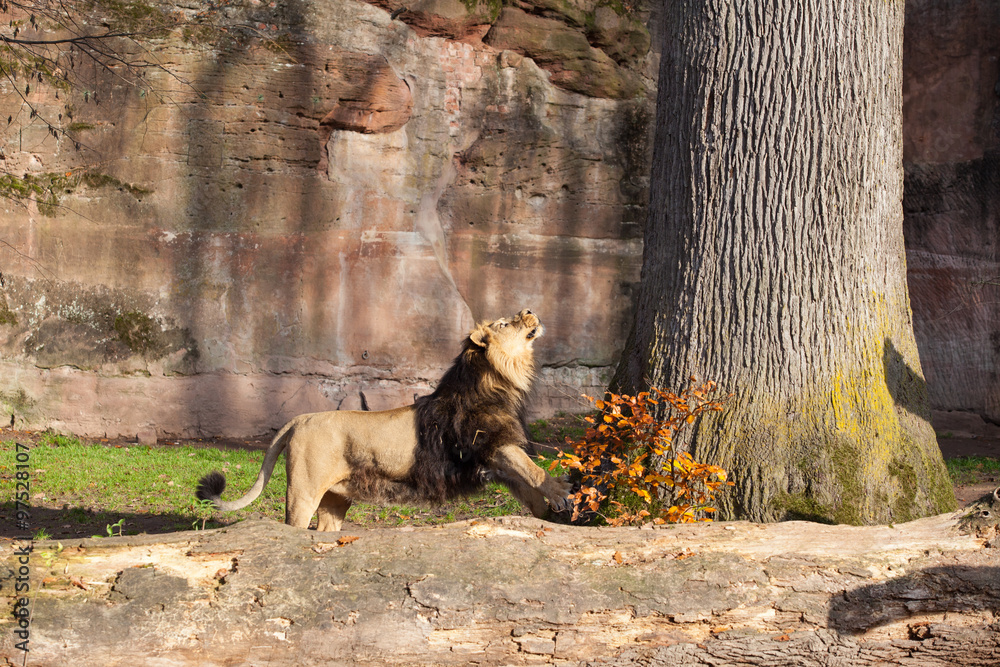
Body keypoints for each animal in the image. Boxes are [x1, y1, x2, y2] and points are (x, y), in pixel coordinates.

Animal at [196, 309, 573, 531]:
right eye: (505, 323)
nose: (529, 310)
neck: (503, 377)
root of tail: (300, 418)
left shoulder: (495, 456)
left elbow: (528, 487)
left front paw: (552, 514)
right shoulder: (493, 444)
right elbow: (532, 469)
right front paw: (562, 491)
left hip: (335, 497)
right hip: (303, 492)